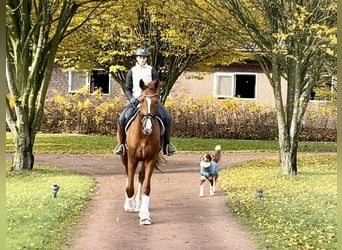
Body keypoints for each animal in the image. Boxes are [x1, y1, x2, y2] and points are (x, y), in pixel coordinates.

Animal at [117, 79, 163, 225]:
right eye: (142, 100)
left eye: (156, 101)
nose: (148, 128)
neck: (144, 135)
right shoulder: (132, 158)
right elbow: (130, 186)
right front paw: (130, 204)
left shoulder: (150, 159)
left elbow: (146, 187)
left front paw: (144, 215)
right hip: (125, 157)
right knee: (128, 175)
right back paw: (130, 203)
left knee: (141, 177)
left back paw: (138, 204)